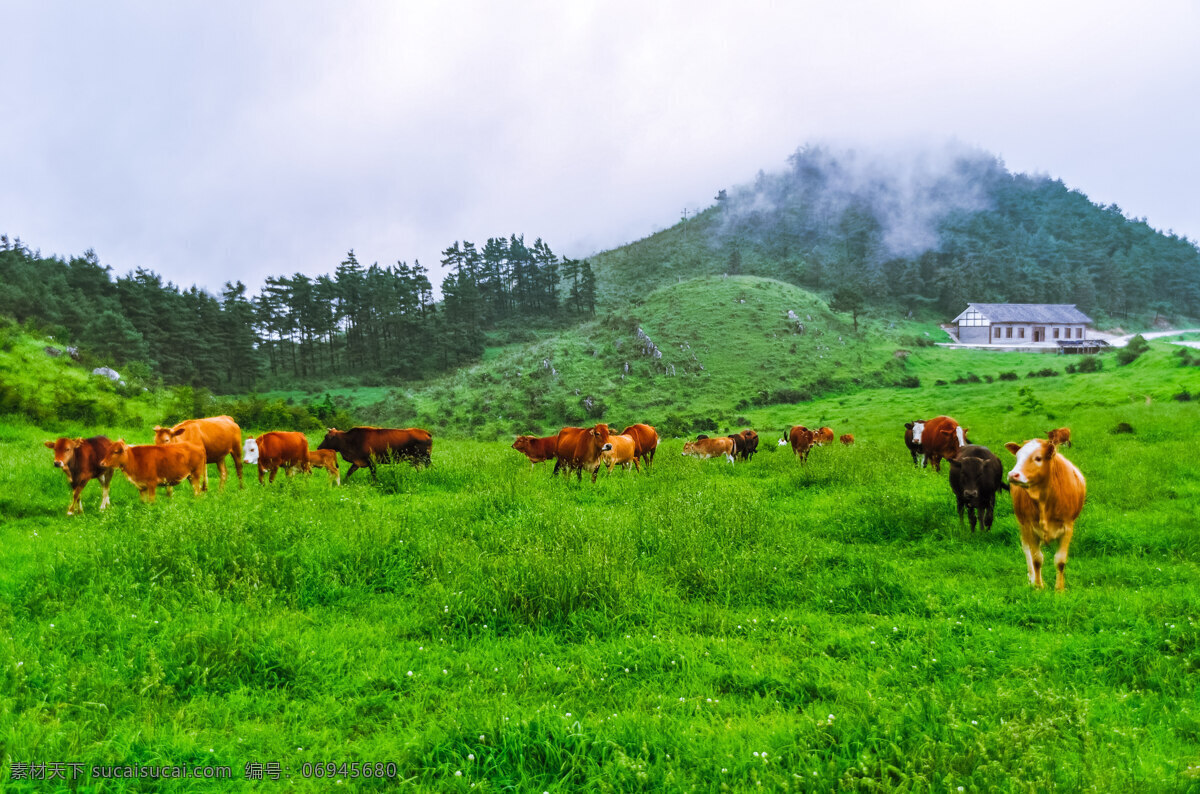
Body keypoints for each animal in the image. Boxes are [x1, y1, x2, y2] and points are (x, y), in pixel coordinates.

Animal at [1003, 438, 1089, 594]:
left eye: (1038, 458)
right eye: (1017, 457)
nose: (1013, 475)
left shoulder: (1068, 528)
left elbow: (1060, 561)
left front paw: (1059, 589)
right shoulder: (1029, 526)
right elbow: (1037, 559)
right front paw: (1038, 586)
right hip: (1022, 524)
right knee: (1027, 550)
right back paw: (1032, 578)